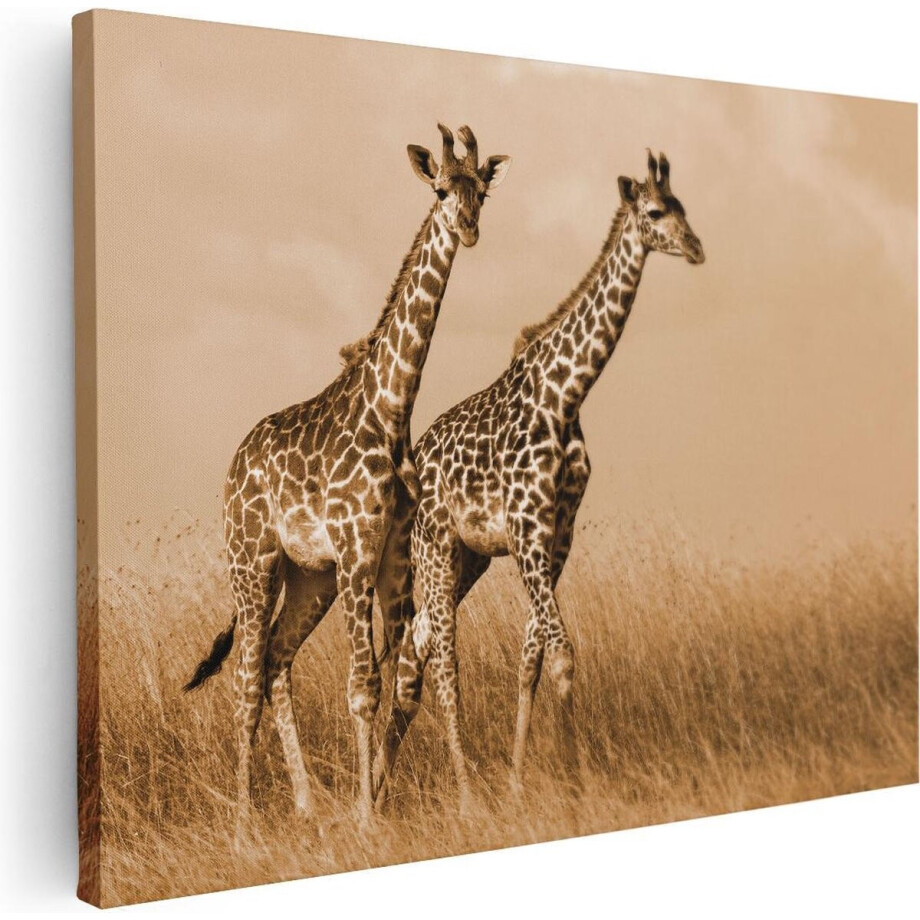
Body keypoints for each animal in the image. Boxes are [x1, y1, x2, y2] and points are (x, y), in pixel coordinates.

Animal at [183, 124, 511, 830]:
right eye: (440, 189)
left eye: (482, 190)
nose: (469, 229)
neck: (391, 407)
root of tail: (232, 466)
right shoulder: (358, 551)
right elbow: (362, 686)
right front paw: (365, 816)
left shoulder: (389, 559)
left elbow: (390, 682)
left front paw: (370, 804)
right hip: (253, 560)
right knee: (246, 676)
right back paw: (244, 825)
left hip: (310, 576)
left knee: (276, 660)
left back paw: (306, 804)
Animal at [397, 151, 704, 809]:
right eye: (654, 212)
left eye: (684, 207)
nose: (695, 247)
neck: (566, 395)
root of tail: (414, 463)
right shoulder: (527, 530)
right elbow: (563, 654)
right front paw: (577, 779)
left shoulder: (558, 533)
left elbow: (532, 657)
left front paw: (520, 780)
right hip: (435, 549)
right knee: (442, 660)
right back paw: (463, 794)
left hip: (467, 559)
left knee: (415, 647)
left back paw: (381, 788)